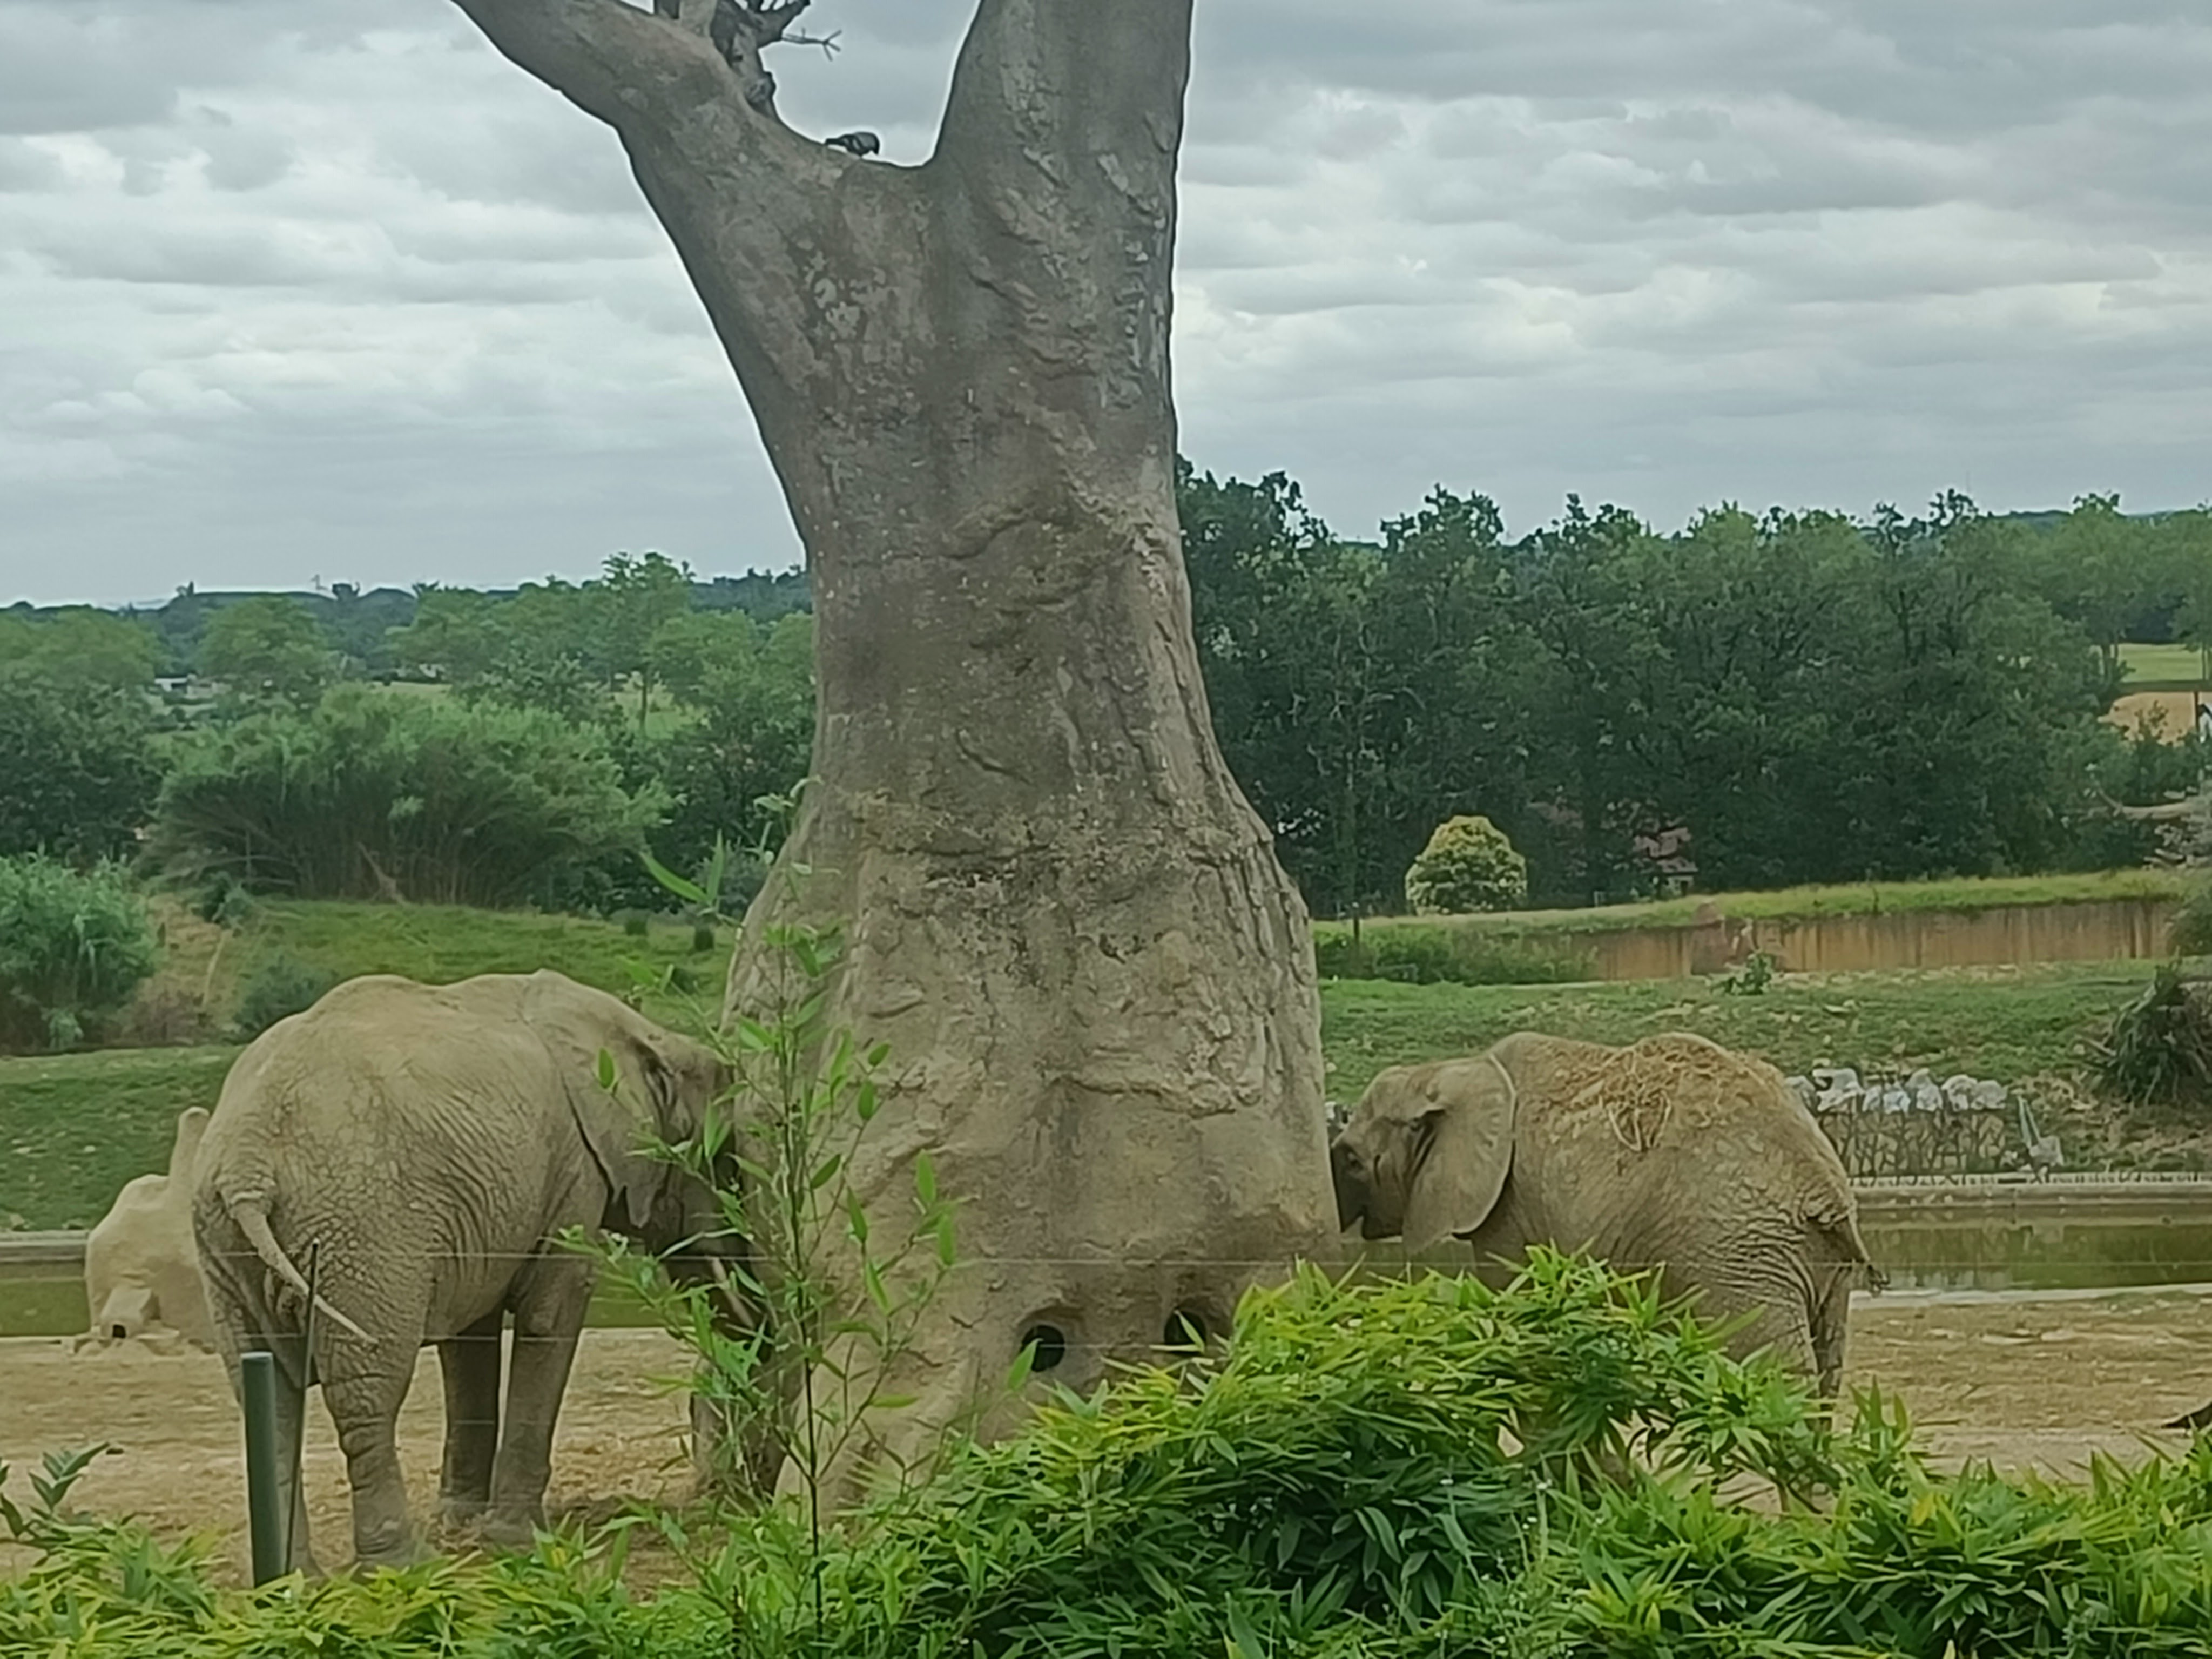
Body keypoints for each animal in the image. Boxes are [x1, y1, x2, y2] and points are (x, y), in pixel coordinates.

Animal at [190, 969, 749, 1574]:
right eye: (726, 1160)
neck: (643, 1032)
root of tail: (246, 1166)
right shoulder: (574, 1171)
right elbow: (553, 1310)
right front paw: (518, 1541)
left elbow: (468, 1340)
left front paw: (462, 1524)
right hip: (362, 1233)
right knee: (368, 1393)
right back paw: (402, 1565)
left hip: (225, 1250)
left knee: (267, 1394)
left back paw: (294, 1579)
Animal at [1330, 1030, 1878, 1397]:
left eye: (1352, 1159)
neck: (1447, 1071)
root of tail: (1822, 1189)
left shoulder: (1511, 1208)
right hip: (1814, 1264)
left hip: (1737, 1254)